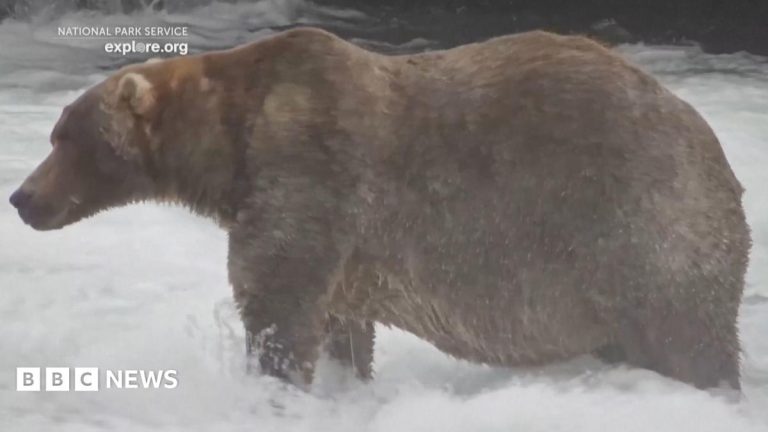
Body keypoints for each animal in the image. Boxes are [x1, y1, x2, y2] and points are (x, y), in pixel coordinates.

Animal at [9, 27, 750, 390]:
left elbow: (276, 301)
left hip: (640, 228)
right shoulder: (342, 244)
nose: (20, 197)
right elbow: (339, 322)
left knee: (688, 340)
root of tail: (718, 152)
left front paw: (274, 383)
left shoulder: (309, 170)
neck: (227, 146)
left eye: (64, 137)